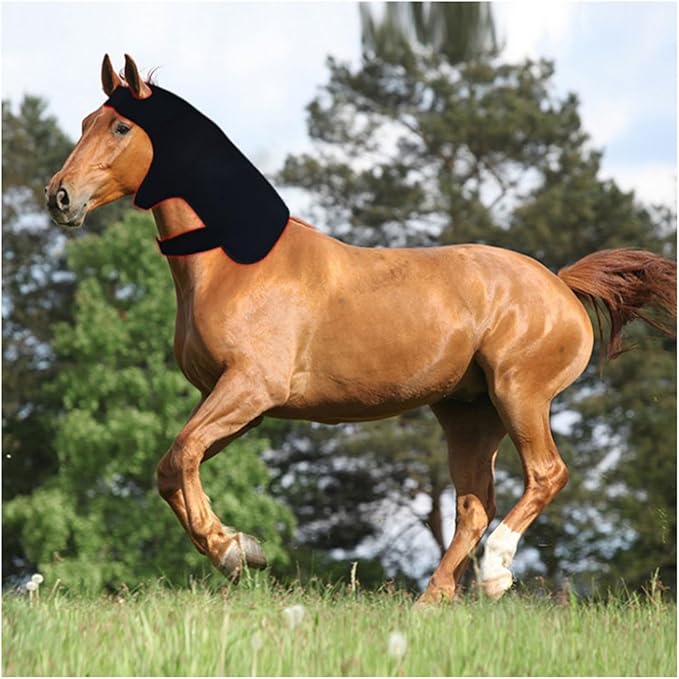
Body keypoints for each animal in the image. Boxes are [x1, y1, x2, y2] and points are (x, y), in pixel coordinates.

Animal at [46, 54, 676, 604]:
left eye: (120, 126)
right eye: (84, 122)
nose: (59, 196)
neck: (235, 264)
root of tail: (561, 285)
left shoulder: (251, 388)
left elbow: (181, 456)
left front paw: (232, 551)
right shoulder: (235, 401)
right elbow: (171, 466)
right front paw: (242, 549)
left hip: (519, 394)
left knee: (545, 474)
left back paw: (495, 573)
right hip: (469, 414)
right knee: (473, 506)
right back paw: (430, 603)